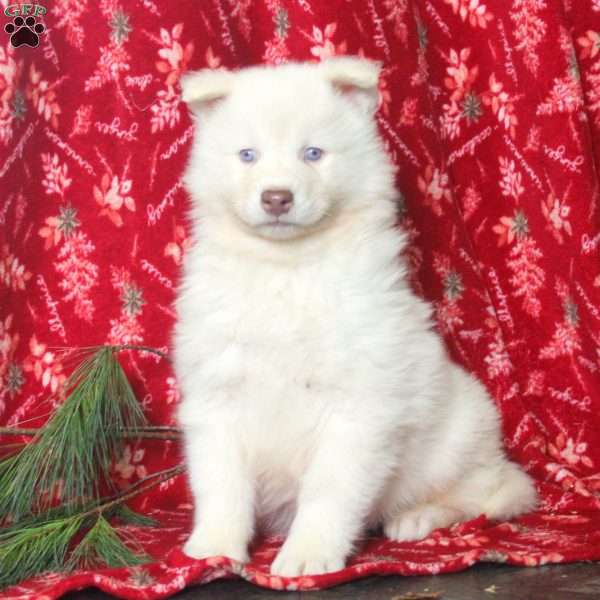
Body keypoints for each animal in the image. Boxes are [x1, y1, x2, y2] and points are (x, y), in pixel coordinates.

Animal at [175, 58, 540, 580]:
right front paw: (213, 548)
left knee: (485, 493)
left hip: (458, 438)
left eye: (313, 153)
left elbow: (329, 489)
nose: (276, 198)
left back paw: (418, 517)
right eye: (247, 155)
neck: (287, 267)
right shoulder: (217, 392)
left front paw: (308, 554)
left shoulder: (359, 405)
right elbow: (221, 482)